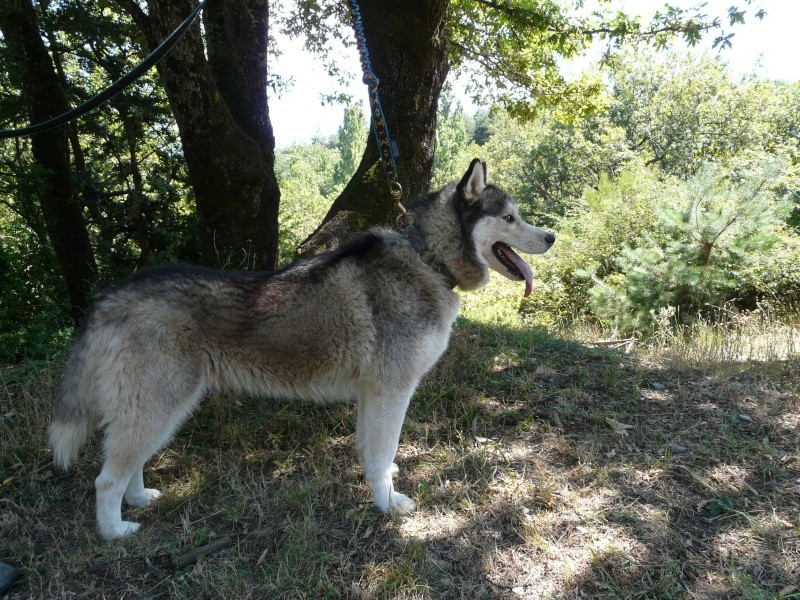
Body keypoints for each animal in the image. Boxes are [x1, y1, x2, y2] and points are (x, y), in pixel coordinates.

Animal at [48, 158, 552, 540]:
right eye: (509, 218)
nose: (551, 237)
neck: (428, 258)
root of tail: (110, 295)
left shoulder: (372, 394)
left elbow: (372, 454)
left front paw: (378, 490)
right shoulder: (392, 391)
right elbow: (384, 455)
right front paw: (387, 505)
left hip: (159, 409)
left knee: (128, 462)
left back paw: (138, 500)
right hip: (159, 405)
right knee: (105, 478)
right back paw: (114, 532)